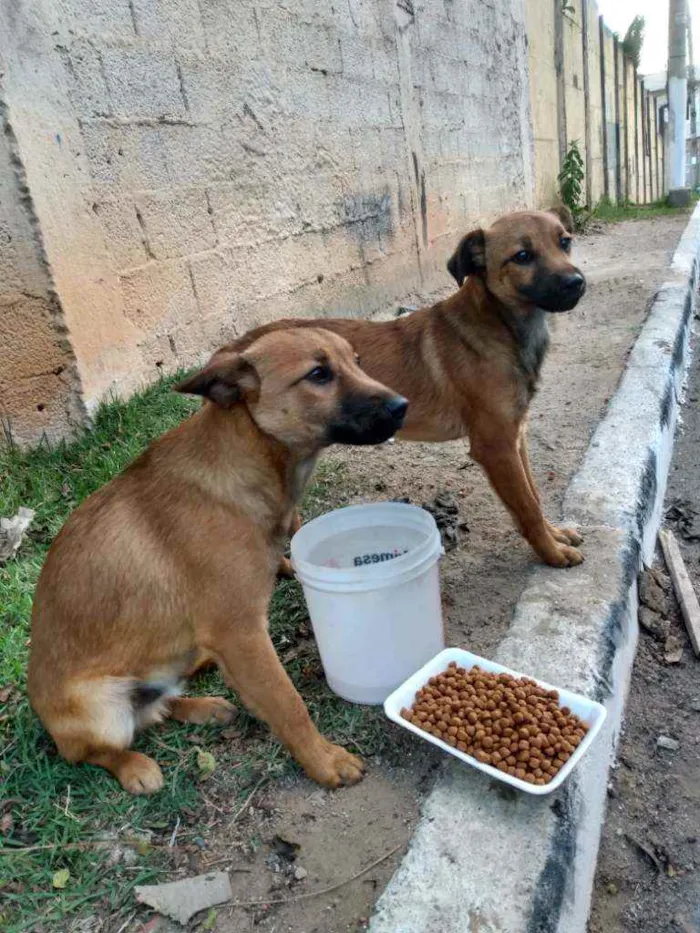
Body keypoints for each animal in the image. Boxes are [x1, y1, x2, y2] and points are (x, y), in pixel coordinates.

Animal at [27, 328, 408, 792]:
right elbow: (288, 704)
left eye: (357, 360)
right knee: (97, 749)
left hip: (162, 672)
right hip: (100, 709)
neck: (244, 463)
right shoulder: (241, 633)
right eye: (319, 374)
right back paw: (136, 767)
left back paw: (204, 705)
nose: (403, 405)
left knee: (158, 706)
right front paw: (323, 761)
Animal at [231, 207, 584, 564]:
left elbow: (534, 495)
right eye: (522, 256)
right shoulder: (495, 445)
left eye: (564, 242)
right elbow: (526, 506)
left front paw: (555, 534)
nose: (577, 283)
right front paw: (552, 553)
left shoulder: (516, 437)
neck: (501, 325)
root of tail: (239, 349)